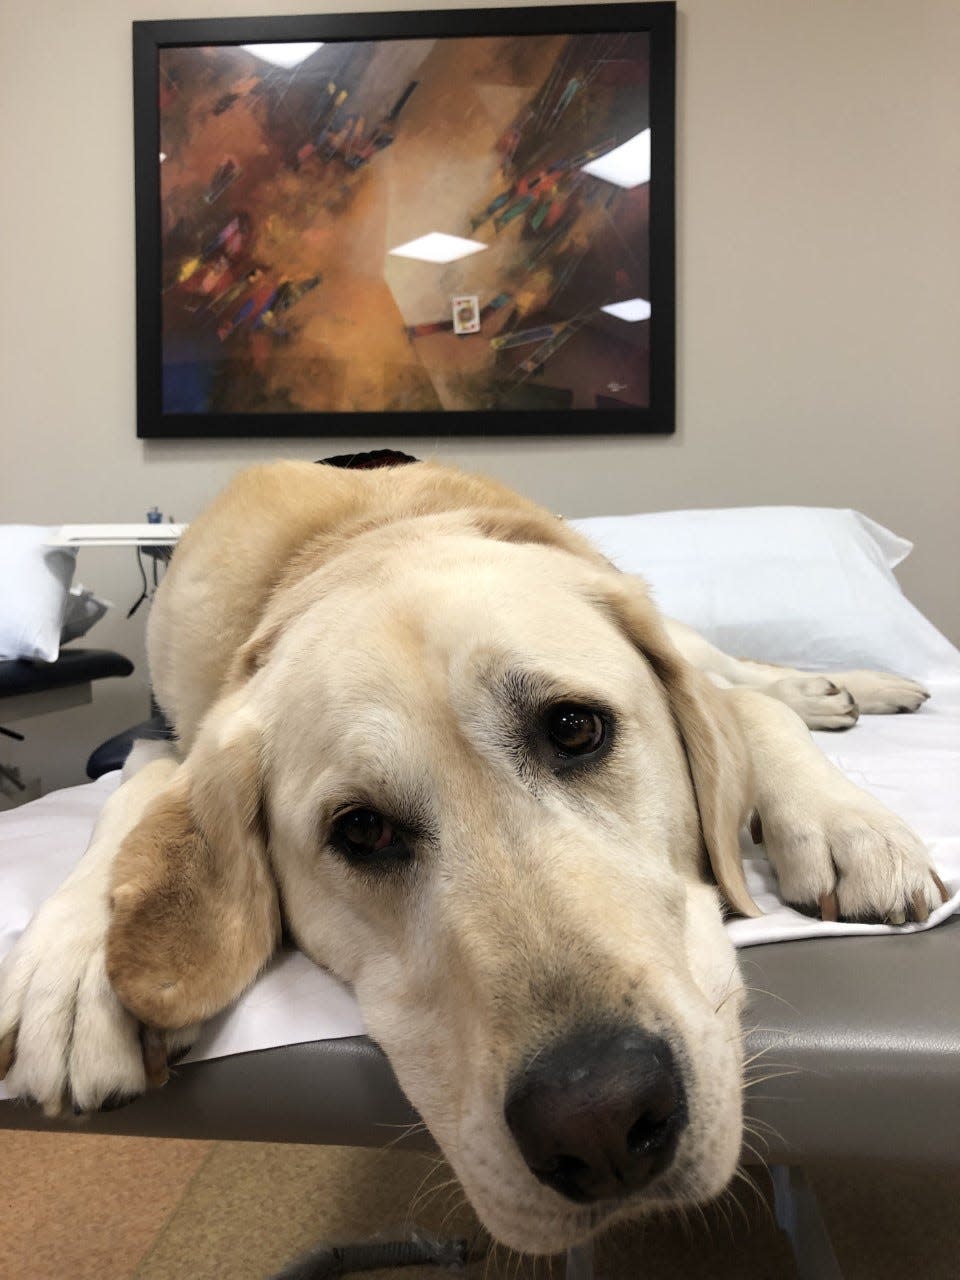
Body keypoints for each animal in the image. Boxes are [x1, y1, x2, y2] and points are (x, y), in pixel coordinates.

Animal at [0, 458, 947, 1249]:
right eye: (361, 830)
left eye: (575, 728)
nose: (600, 1123)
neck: (359, 541)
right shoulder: (166, 737)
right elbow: (131, 800)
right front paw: (75, 980)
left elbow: (748, 714)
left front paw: (844, 820)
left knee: (740, 674)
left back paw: (847, 689)